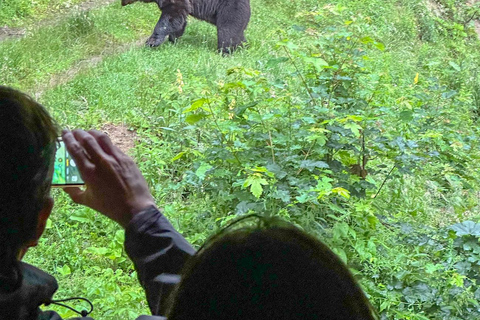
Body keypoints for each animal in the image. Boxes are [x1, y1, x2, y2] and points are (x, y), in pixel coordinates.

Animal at [121, 0, 251, 53]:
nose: (121, 3)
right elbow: (178, 20)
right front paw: (173, 39)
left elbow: (171, 16)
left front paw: (151, 41)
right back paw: (243, 46)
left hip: (230, 9)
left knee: (227, 31)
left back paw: (225, 51)